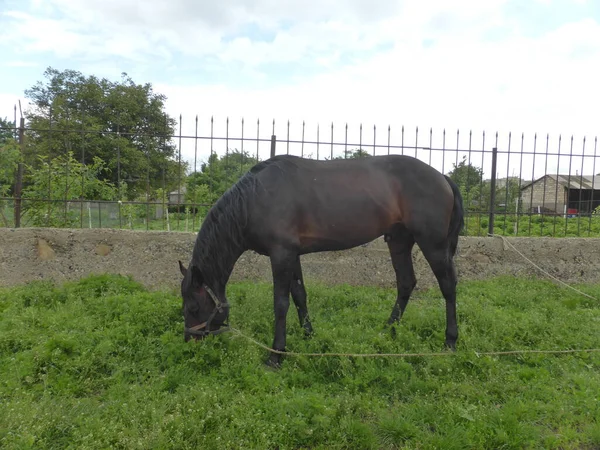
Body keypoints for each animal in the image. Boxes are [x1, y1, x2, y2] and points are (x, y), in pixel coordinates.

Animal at [177, 153, 464, 368]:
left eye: (193, 307)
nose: (189, 341)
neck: (256, 199)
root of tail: (442, 177)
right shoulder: (292, 255)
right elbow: (299, 296)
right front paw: (308, 335)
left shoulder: (281, 255)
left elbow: (280, 303)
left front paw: (276, 355)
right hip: (399, 240)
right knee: (406, 283)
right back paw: (388, 330)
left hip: (433, 244)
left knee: (448, 286)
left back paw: (450, 341)